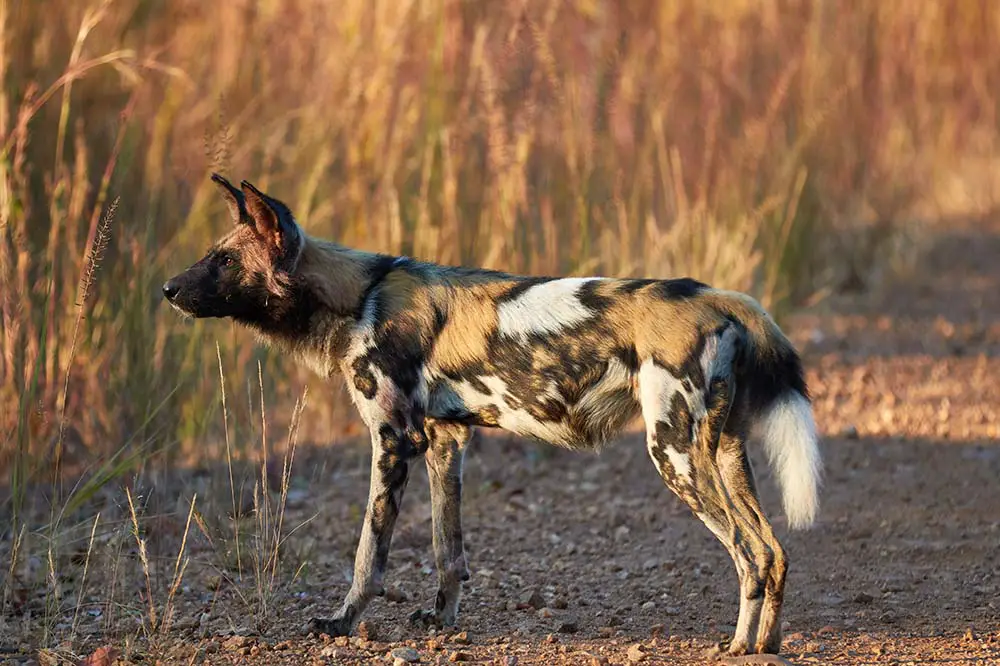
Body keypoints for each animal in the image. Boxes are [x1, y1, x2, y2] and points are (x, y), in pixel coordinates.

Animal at [164, 172, 820, 652]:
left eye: (224, 262)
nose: (167, 289)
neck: (357, 296)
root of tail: (720, 297)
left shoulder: (393, 442)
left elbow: (368, 555)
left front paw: (342, 622)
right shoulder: (444, 443)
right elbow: (446, 552)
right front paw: (441, 621)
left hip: (673, 454)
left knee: (749, 553)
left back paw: (737, 646)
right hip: (724, 453)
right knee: (775, 551)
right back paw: (766, 645)